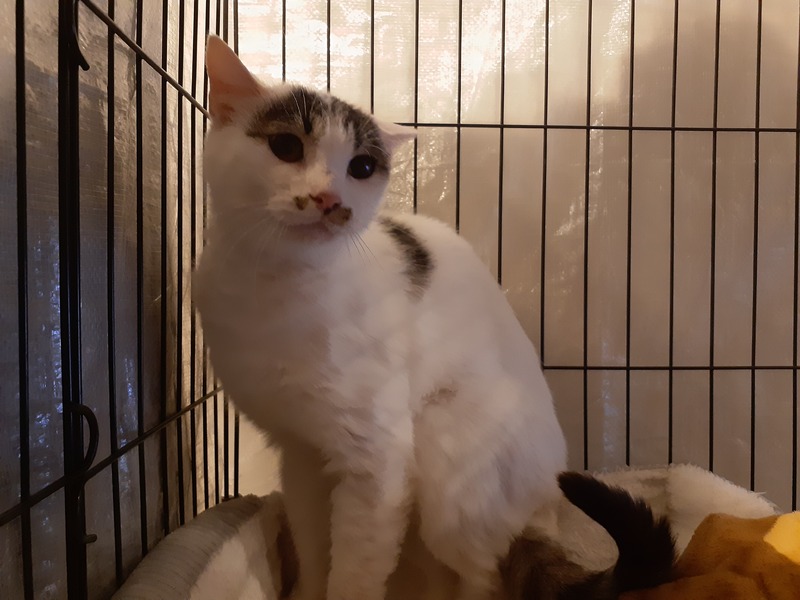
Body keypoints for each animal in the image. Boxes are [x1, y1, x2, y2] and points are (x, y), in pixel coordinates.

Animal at [194, 34, 567, 600]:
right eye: (286, 147)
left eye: (362, 169)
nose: (329, 199)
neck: (274, 287)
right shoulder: (301, 454)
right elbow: (313, 547)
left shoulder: (376, 461)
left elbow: (355, 572)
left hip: (445, 462)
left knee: (486, 575)